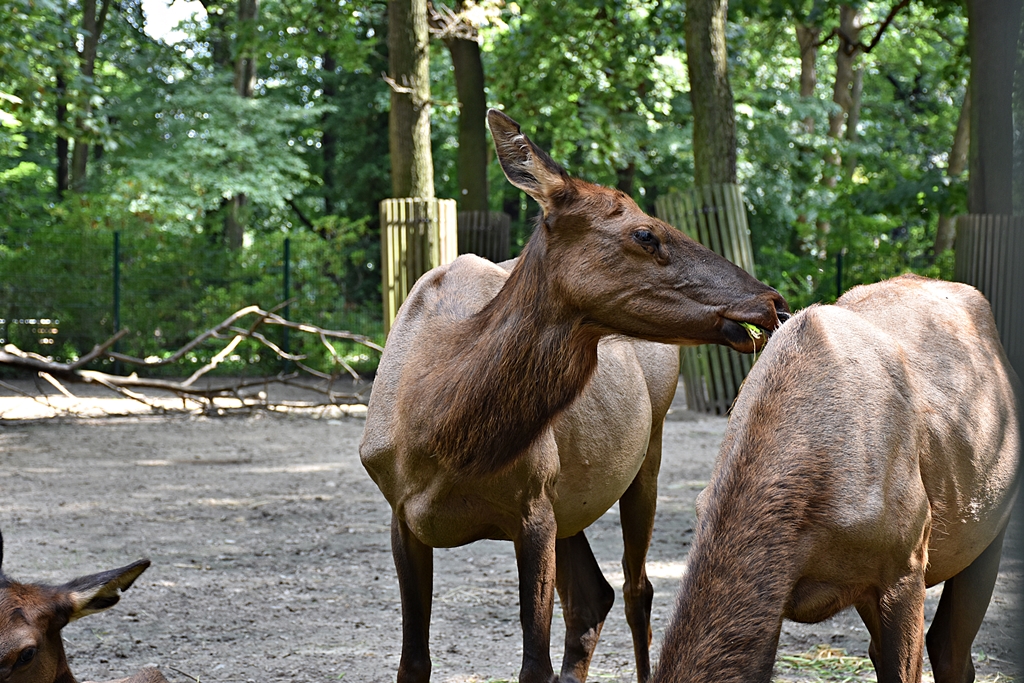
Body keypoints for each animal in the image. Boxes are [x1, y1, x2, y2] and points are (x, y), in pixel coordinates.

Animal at [359, 109, 790, 683]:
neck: (442, 436)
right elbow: (413, 662)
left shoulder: (534, 507)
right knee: (593, 596)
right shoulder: (401, 514)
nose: (773, 301)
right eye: (645, 233)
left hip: (645, 453)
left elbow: (533, 665)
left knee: (635, 589)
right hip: (573, 502)